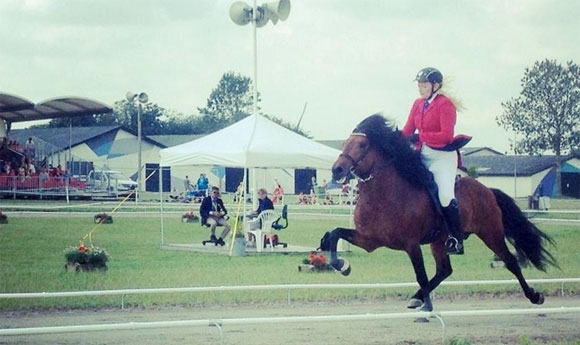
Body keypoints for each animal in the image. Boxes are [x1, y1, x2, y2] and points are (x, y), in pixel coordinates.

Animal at [318, 113, 556, 312]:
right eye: (344, 143)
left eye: (362, 144)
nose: (337, 170)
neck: (385, 195)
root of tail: (488, 190)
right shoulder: (369, 240)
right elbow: (335, 233)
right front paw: (342, 265)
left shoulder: (411, 244)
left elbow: (420, 274)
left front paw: (428, 307)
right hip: (440, 240)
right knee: (444, 270)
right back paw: (416, 297)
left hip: (491, 233)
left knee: (510, 262)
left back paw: (535, 296)